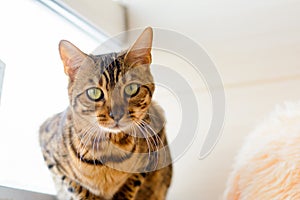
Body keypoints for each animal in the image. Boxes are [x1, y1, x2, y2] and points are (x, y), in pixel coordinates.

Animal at [39, 27, 173, 200]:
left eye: (131, 88)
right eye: (94, 93)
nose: (117, 114)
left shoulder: (156, 139)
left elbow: (133, 181)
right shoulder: (48, 151)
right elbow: (75, 186)